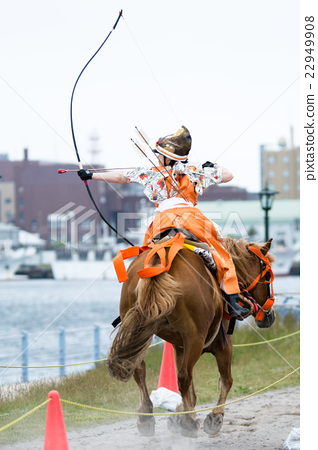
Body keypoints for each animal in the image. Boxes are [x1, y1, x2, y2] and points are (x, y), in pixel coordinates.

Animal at [107, 234, 276, 438]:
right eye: (267, 277)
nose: (270, 316)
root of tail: (159, 261)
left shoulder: (181, 347)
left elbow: (192, 392)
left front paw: (181, 413)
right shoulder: (222, 345)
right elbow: (226, 381)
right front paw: (214, 417)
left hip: (139, 330)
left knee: (139, 368)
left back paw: (146, 416)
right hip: (195, 338)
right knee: (184, 376)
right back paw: (188, 423)